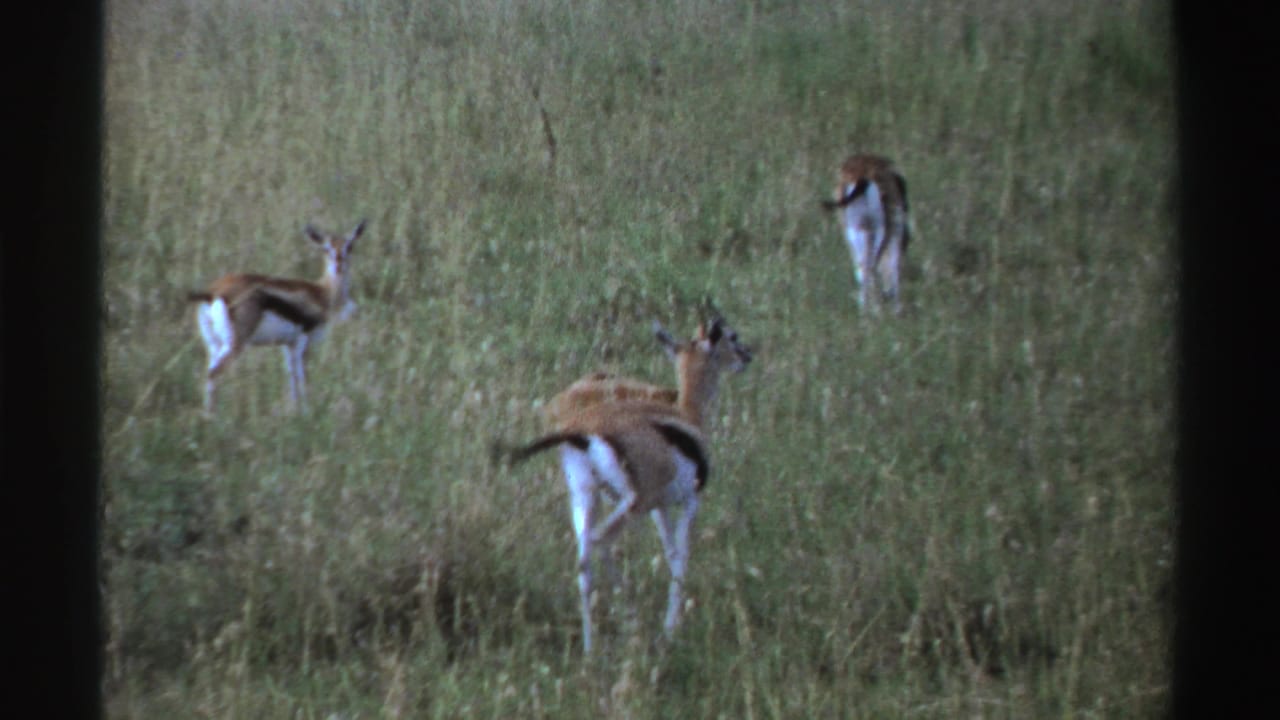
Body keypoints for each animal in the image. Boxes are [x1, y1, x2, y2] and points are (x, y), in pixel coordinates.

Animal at [186, 220, 366, 413]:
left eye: (349, 246)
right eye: (326, 248)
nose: (338, 265)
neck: (323, 292)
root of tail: (214, 291)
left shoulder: (288, 344)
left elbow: (291, 378)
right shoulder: (302, 341)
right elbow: (302, 377)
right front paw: (307, 411)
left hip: (214, 345)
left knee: (208, 374)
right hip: (235, 345)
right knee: (213, 374)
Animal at [503, 316, 752, 653]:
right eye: (731, 336)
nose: (747, 356)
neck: (687, 416)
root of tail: (582, 432)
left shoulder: (659, 508)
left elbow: (670, 552)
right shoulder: (689, 500)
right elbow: (681, 556)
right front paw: (671, 628)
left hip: (586, 498)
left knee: (584, 562)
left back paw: (592, 649)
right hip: (631, 503)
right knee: (600, 541)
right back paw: (630, 623)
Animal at [821, 154, 911, 314]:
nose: (908, 237)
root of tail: (862, 178)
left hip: (856, 231)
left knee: (863, 268)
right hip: (879, 230)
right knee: (876, 267)